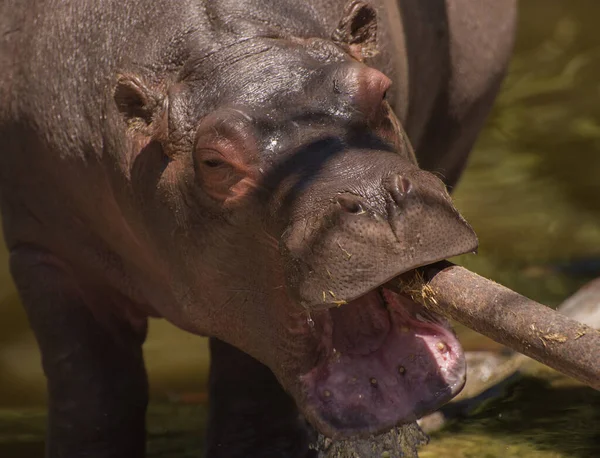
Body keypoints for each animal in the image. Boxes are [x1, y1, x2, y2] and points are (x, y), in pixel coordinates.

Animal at [0, 0, 516, 456]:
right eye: (212, 161)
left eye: (381, 91)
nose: (374, 196)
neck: (229, 49)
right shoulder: (43, 252)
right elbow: (94, 399)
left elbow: (249, 394)